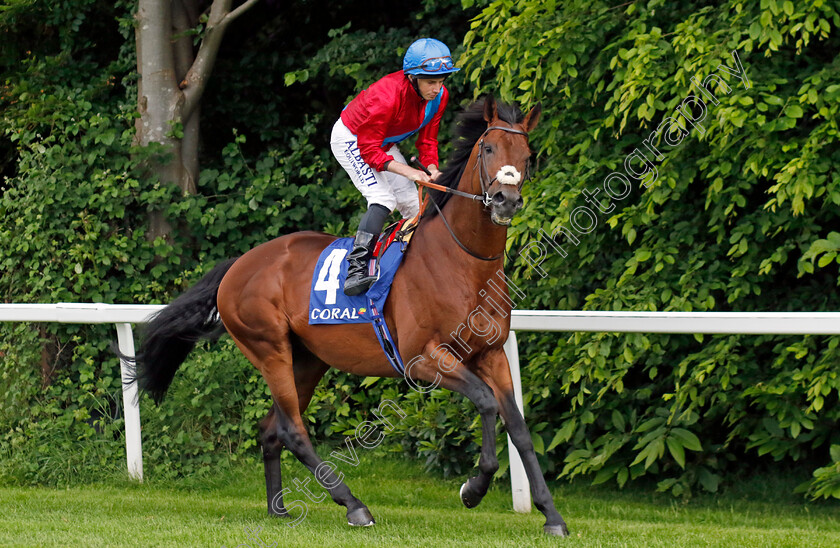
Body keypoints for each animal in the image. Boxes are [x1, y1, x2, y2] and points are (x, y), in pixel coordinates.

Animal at [133, 95, 572, 536]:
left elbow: (519, 427)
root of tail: (239, 264)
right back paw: (353, 505)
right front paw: (473, 489)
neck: (462, 263)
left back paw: (278, 509)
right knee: (293, 429)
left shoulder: (492, 354)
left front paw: (551, 515)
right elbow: (485, 402)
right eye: (488, 148)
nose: (505, 200)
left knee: (271, 429)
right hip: (269, 349)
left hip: (307, 359)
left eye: (527, 155)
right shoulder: (421, 358)